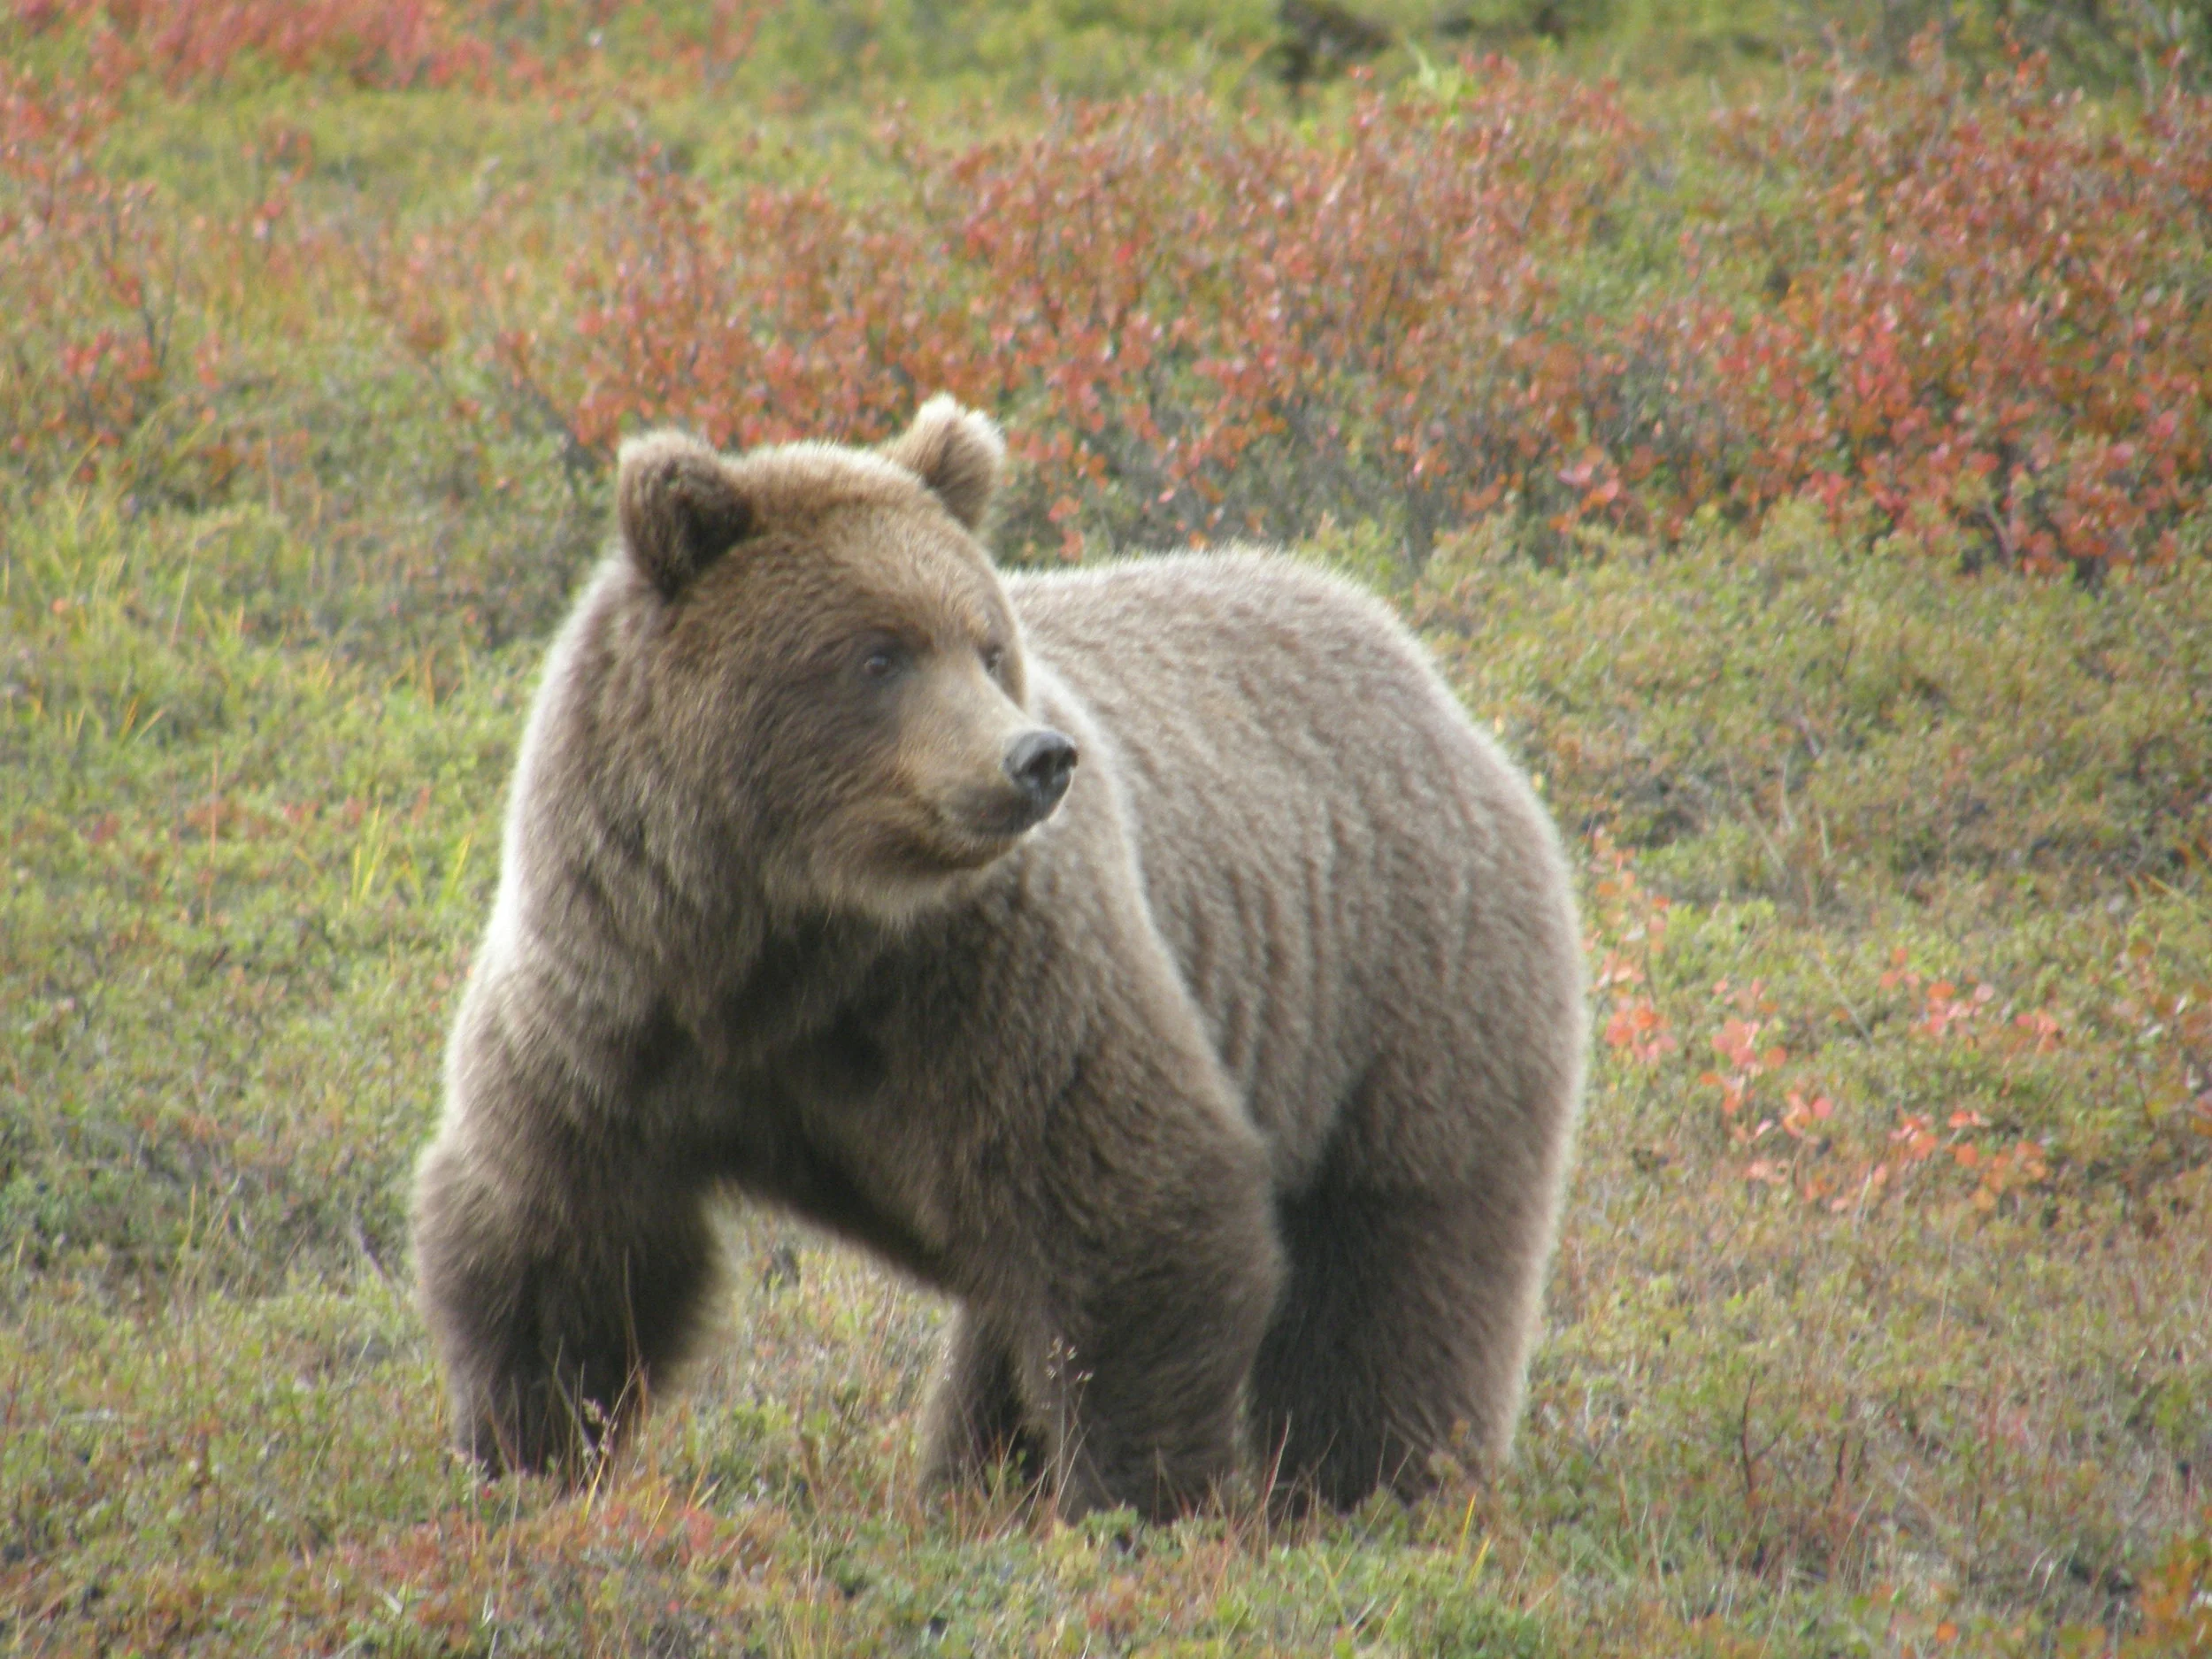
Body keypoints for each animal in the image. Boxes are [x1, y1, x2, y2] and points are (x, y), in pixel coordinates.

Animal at [410, 395, 1587, 1520]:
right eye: (877, 652)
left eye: (983, 644)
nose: (1036, 759)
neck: (789, 937)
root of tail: (1429, 681)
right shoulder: (613, 995)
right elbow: (559, 1234)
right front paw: (521, 1456)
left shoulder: (1000, 980)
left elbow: (1143, 1211)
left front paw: (1136, 1504)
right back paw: (976, 1484)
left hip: (1406, 988)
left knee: (1394, 1267)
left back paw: (1373, 1488)